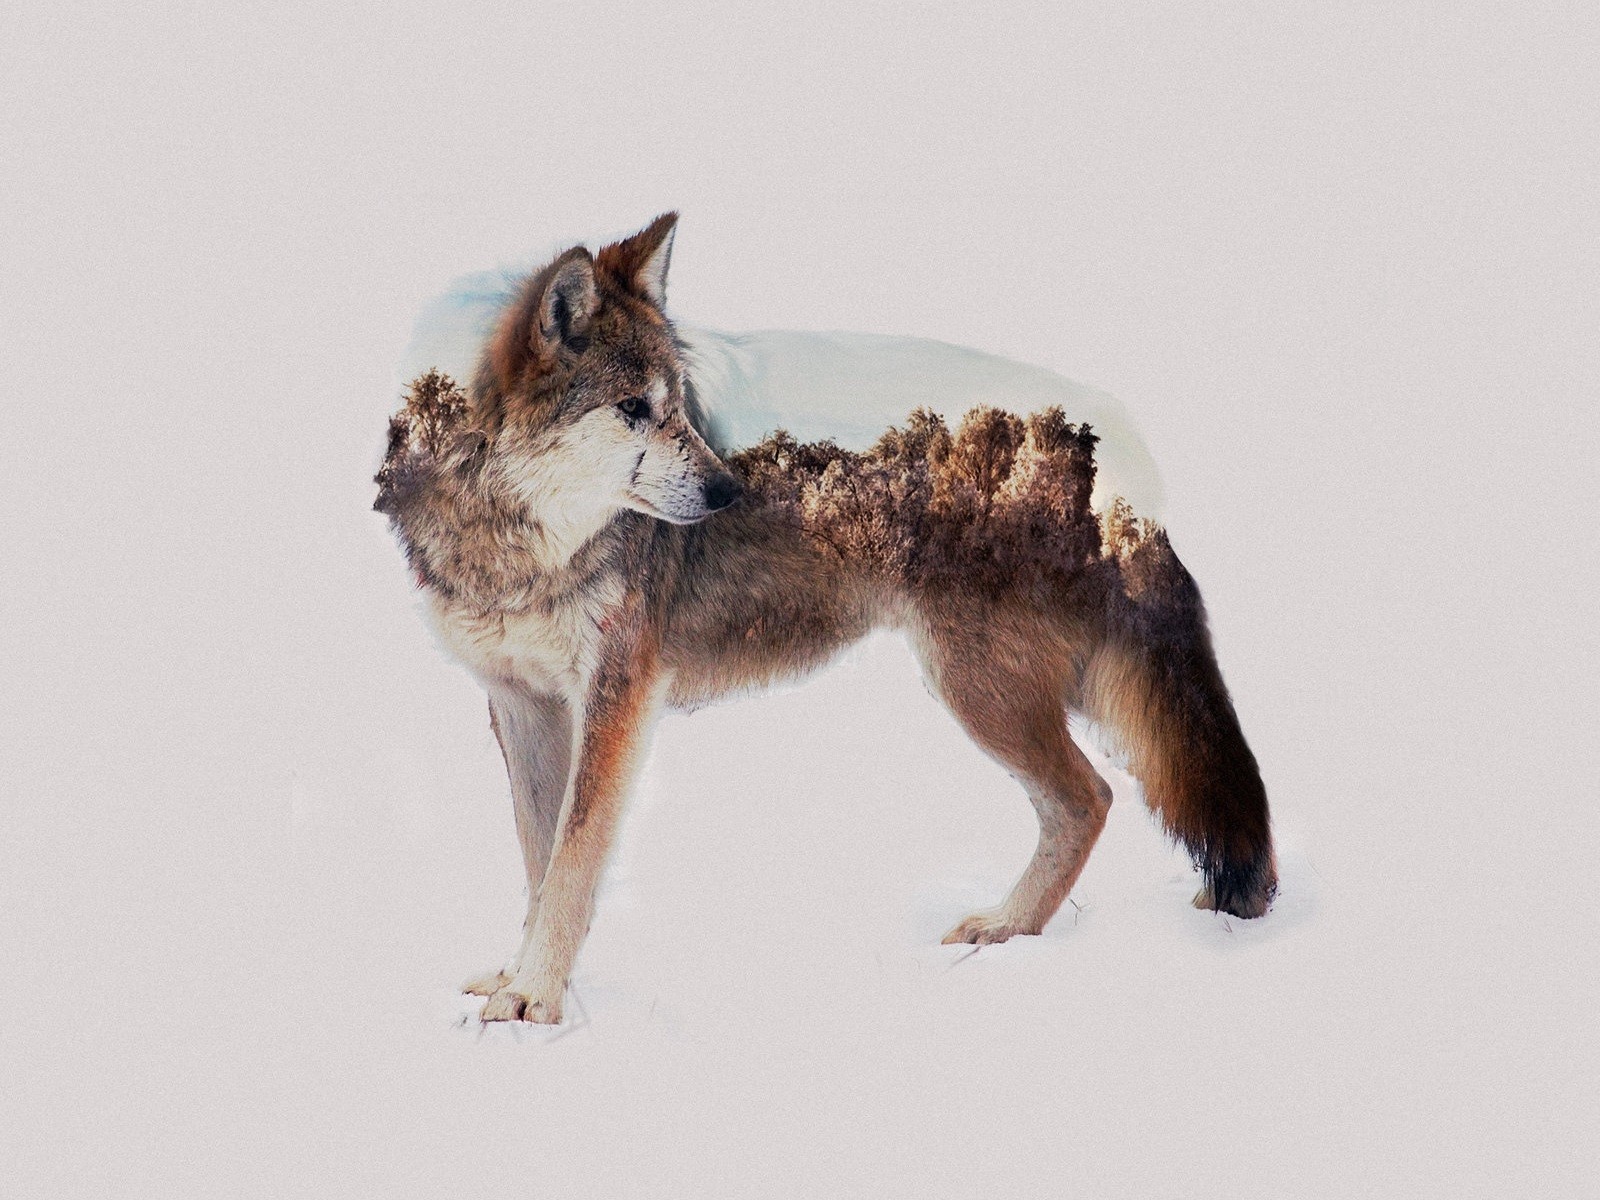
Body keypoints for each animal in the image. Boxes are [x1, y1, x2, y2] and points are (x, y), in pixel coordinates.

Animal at [376, 213, 1275, 1024]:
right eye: (634, 408)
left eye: (678, 408)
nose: (730, 491)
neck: (514, 549)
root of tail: (1113, 461)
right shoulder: (519, 703)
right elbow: (540, 858)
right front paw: (523, 979)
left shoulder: (617, 698)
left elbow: (573, 858)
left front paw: (536, 998)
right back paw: (1013, 930)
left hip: (980, 689)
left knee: (1092, 797)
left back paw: (1005, 929)